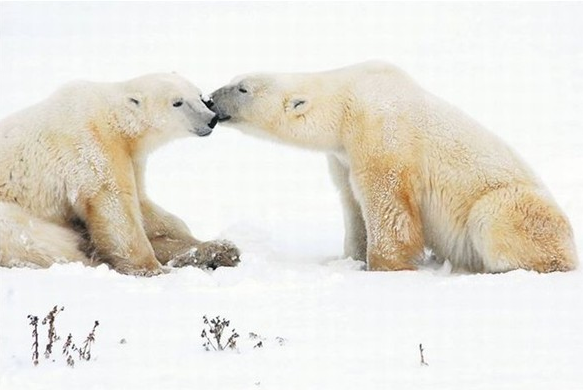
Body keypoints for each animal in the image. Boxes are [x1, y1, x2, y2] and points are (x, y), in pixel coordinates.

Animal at [0, 72, 241, 274]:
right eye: (177, 102)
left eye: (200, 96)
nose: (211, 118)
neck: (114, 120)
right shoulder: (92, 147)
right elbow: (115, 205)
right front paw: (151, 267)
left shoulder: (131, 158)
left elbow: (143, 203)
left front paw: (201, 242)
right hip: (11, 214)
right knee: (39, 240)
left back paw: (220, 251)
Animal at [208, 61, 576, 274]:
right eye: (235, 80)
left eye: (242, 88)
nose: (210, 100)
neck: (345, 102)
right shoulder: (342, 155)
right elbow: (352, 201)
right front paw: (352, 258)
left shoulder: (380, 130)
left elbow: (385, 199)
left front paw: (386, 266)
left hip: (519, 209)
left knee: (495, 217)